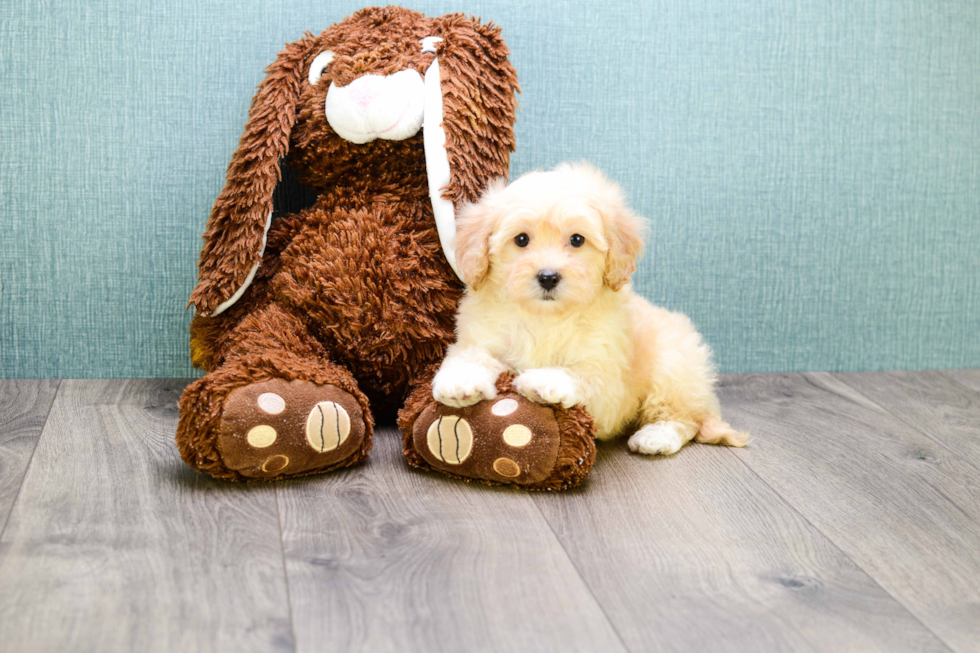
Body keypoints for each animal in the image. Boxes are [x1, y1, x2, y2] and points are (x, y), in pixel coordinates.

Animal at [432, 161, 748, 456]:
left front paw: (545, 380)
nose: (548, 277)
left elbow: (585, 376)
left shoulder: (608, 377)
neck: (544, 317)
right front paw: (460, 382)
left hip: (673, 367)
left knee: (684, 419)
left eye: (577, 240)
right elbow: (471, 355)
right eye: (521, 239)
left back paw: (656, 436)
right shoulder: (481, 337)